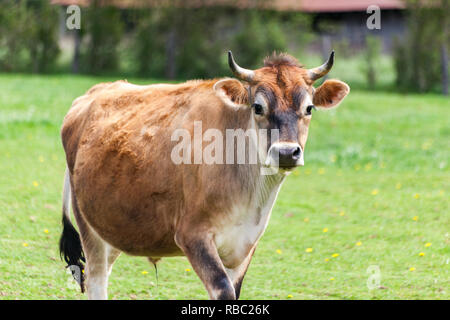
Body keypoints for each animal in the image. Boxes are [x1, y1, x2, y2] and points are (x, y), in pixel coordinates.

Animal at [59, 50, 348, 300]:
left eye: (309, 108)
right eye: (257, 107)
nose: (286, 152)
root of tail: (94, 93)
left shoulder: (245, 245)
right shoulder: (192, 235)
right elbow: (223, 290)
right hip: (88, 225)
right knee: (96, 279)